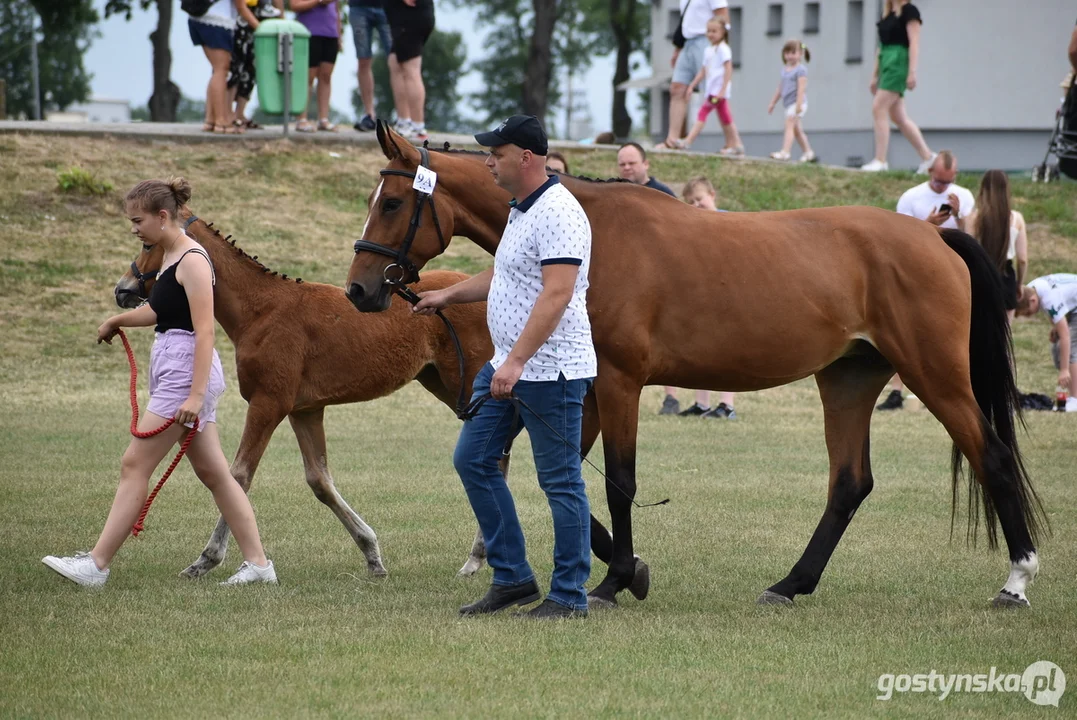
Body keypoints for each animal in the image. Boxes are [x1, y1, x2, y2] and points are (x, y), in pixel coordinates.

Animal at [342, 123, 1042, 606]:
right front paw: (627, 571)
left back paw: (1017, 580)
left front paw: (614, 582)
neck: (591, 233)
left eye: (393, 203)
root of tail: (935, 235)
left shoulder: (618, 382)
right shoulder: (584, 391)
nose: (360, 291)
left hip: (935, 377)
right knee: (850, 483)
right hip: (848, 380)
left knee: (992, 457)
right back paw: (790, 584)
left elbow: (618, 482)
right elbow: (562, 480)